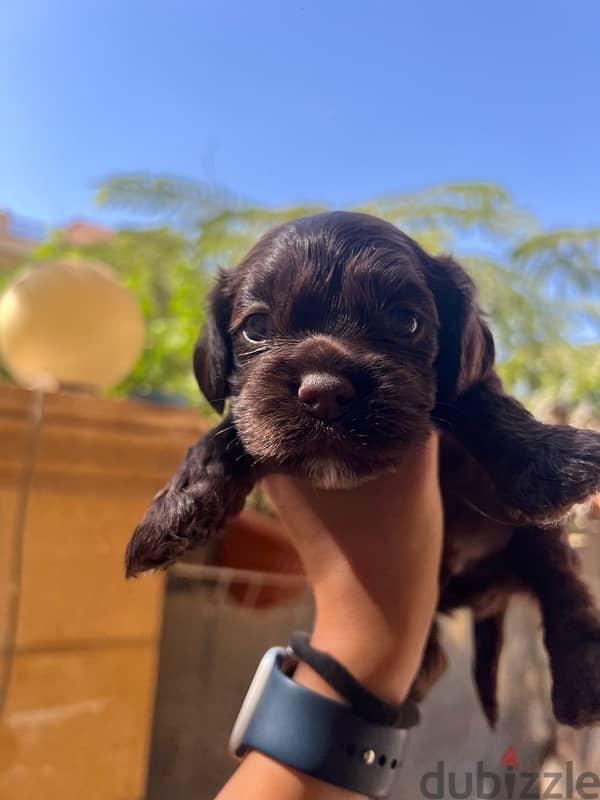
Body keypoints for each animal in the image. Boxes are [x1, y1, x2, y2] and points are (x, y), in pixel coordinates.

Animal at [125, 212, 600, 732]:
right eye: (256, 327)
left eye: (405, 322)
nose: (324, 392)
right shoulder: (251, 412)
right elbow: (227, 429)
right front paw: (173, 511)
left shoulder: (466, 398)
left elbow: (480, 402)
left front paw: (552, 457)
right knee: (436, 655)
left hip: (538, 538)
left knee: (563, 586)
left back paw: (581, 684)